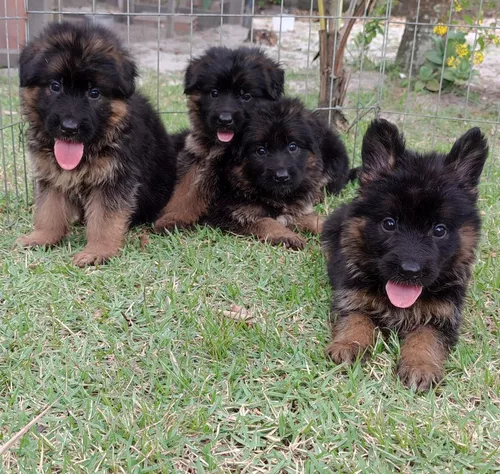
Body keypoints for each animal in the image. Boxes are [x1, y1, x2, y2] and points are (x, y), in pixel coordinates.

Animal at [16, 21, 176, 266]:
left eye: (94, 93)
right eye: (55, 86)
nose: (69, 127)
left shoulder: (114, 180)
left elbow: (104, 220)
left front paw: (98, 252)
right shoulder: (51, 176)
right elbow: (48, 211)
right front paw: (41, 237)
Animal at [154, 46, 284, 233]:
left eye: (246, 96)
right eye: (214, 93)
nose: (225, 119)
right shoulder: (196, 156)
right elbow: (184, 190)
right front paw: (172, 217)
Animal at [205, 98, 350, 250]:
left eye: (292, 146)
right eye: (261, 151)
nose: (282, 177)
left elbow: (314, 219)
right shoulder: (231, 214)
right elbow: (266, 221)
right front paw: (287, 236)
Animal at [320, 120, 488, 390]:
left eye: (439, 230)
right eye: (389, 224)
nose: (410, 271)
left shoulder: (443, 317)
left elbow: (425, 337)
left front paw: (420, 365)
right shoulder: (352, 299)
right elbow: (356, 320)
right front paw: (349, 344)